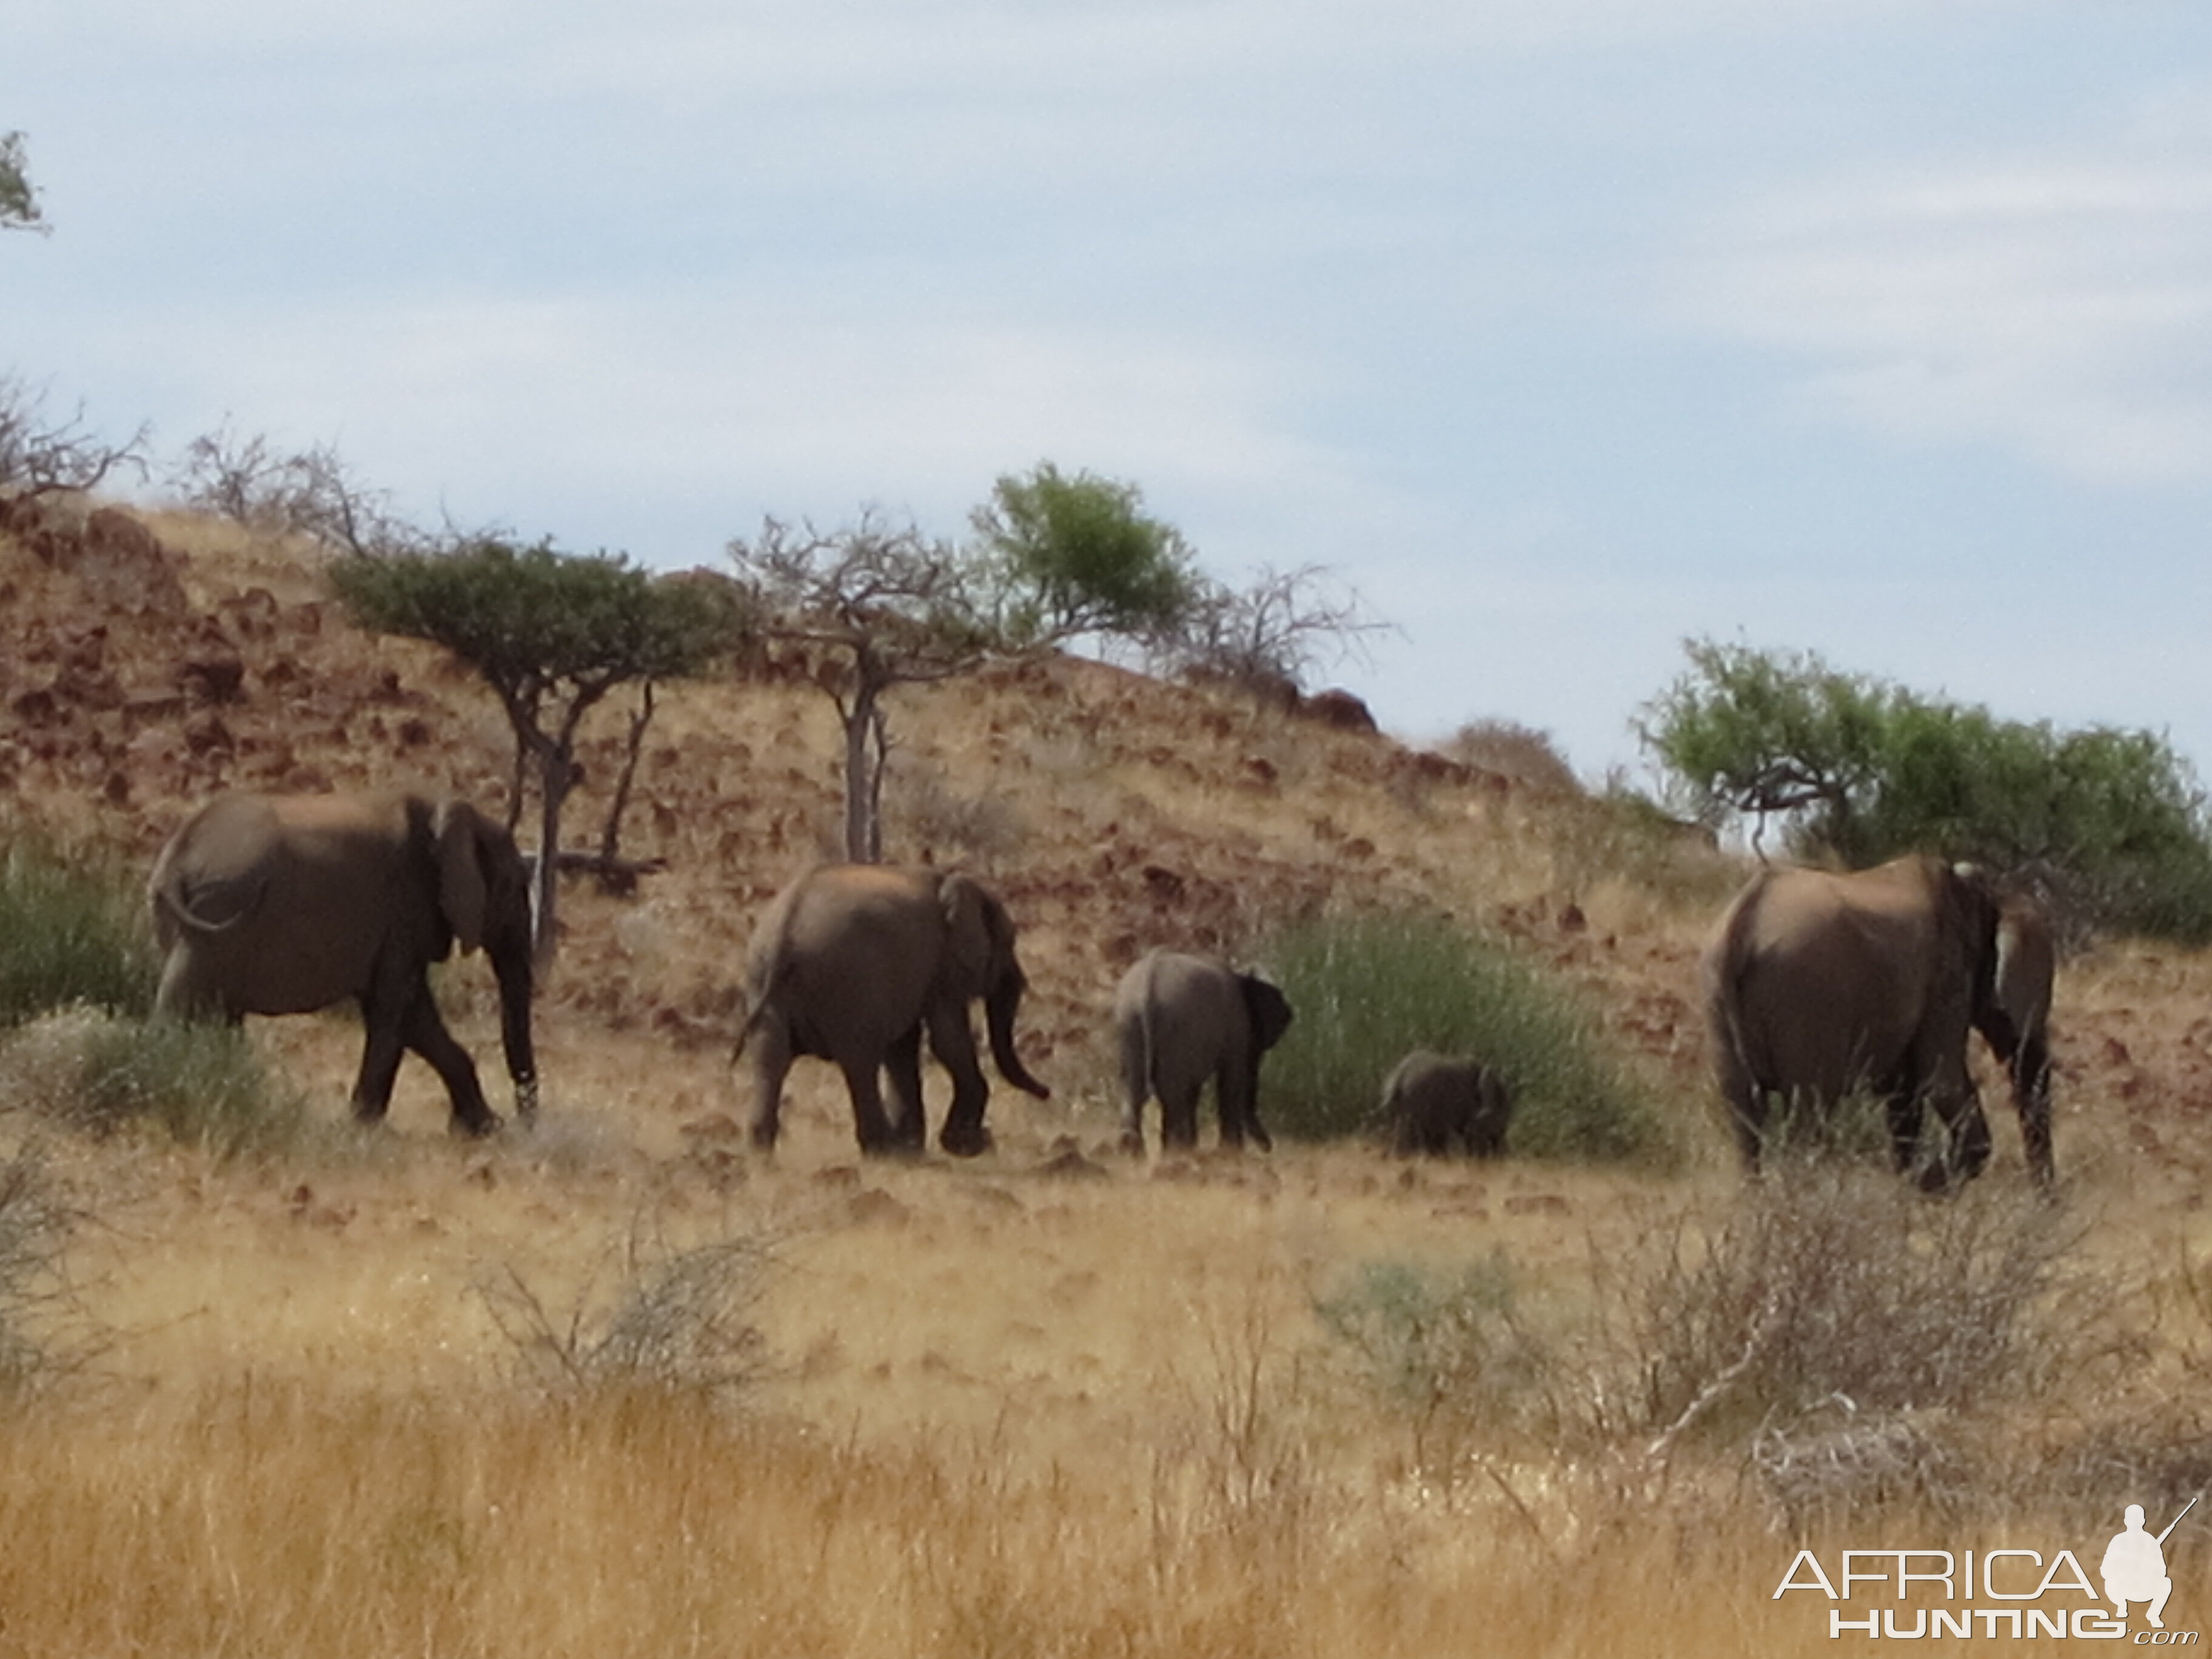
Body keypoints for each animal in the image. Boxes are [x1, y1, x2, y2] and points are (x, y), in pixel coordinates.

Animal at [151, 796, 540, 1141]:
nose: (527, 1124)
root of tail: (177, 859)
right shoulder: (404, 911)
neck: (443, 814)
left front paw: (481, 1129)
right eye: (512, 886)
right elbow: (395, 1011)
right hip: (217, 916)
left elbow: (416, 1019)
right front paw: (367, 1131)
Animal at [739, 862, 1048, 1159]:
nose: (1047, 1093)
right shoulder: (941, 967)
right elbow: (947, 1041)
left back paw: (763, 1154)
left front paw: (915, 1148)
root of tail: (784, 935)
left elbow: (903, 1048)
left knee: (770, 1059)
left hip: (762, 978)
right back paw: (882, 1149)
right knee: (860, 1063)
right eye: (1011, 942)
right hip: (849, 985)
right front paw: (966, 1145)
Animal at [1114, 947, 1292, 1159]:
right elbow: (1231, 1080)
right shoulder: (1236, 1027)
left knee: (1133, 1087)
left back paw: (1134, 1152)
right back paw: (1175, 1151)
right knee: (1171, 1094)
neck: (1244, 980)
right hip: (1174, 1027)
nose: (1268, 1147)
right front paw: (1231, 1151)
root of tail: (1147, 985)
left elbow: (1196, 1088)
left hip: (1129, 1021)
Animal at [1698, 849, 2026, 1185]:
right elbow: (1940, 1079)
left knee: (1745, 1117)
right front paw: (1924, 1183)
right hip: (1805, 998)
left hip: (1719, 999)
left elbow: (1904, 1094)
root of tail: (1740, 927)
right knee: (1808, 1111)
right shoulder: (1945, 974)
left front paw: (1909, 1183)